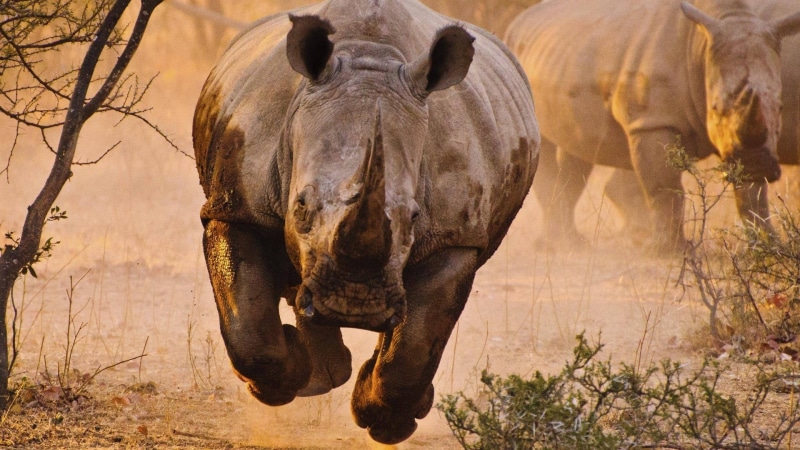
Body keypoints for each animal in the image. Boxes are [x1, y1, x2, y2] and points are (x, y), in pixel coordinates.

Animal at [192, 0, 539, 444]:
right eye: (300, 206)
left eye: (413, 217)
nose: (353, 304)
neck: (370, 58)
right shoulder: (236, 205)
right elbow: (249, 331)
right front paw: (281, 382)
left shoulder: (455, 235)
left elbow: (415, 345)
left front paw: (385, 422)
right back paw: (321, 374)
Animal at [504, 0, 800, 252]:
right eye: (715, 107)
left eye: (780, 108)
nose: (758, 164)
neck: (701, 48)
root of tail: (518, 21)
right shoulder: (652, 121)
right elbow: (664, 188)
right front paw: (671, 252)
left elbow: (753, 194)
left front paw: (769, 248)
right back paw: (560, 247)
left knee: (577, 151)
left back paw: (572, 243)